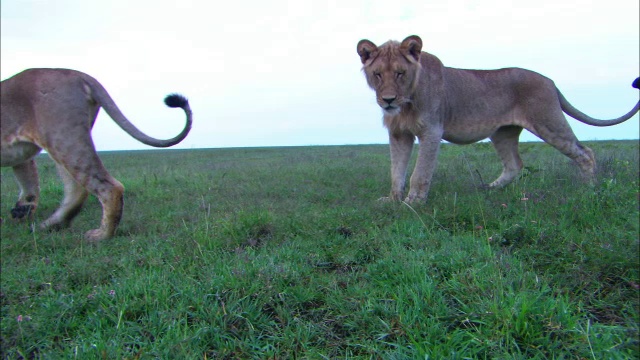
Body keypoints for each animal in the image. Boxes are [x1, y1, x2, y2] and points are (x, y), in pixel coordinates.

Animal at [1, 68, 194, 242]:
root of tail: (79, 75)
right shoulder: (23, 159)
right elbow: (29, 185)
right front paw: (21, 211)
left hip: (62, 138)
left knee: (108, 187)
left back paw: (101, 235)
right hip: (64, 140)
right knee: (77, 189)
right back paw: (49, 225)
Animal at [358, 35, 636, 204]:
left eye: (400, 73)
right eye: (378, 74)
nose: (388, 100)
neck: (405, 104)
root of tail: (550, 81)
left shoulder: (432, 131)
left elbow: (420, 172)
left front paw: (413, 203)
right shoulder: (399, 134)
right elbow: (396, 170)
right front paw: (393, 200)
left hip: (549, 122)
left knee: (585, 152)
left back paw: (589, 189)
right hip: (503, 132)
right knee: (514, 165)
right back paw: (487, 189)